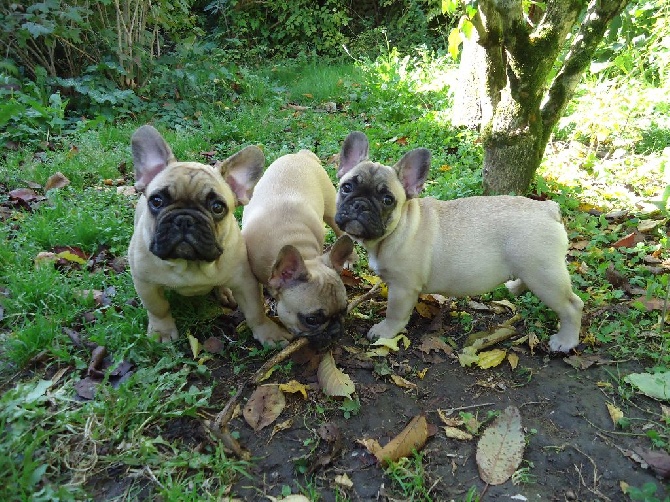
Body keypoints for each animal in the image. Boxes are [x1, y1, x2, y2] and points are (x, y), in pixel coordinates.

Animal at [129, 124, 292, 348]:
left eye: (217, 207)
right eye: (156, 201)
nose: (184, 219)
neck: (190, 265)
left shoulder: (246, 282)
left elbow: (255, 311)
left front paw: (268, 332)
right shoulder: (145, 283)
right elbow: (158, 308)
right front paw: (162, 331)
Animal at [336, 132, 584, 352]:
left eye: (387, 200)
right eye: (346, 187)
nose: (360, 204)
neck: (399, 228)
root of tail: (548, 208)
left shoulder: (402, 288)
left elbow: (394, 314)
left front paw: (384, 332)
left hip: (544, 275)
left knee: (572, 306)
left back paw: (565, 342)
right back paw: (515, 286)